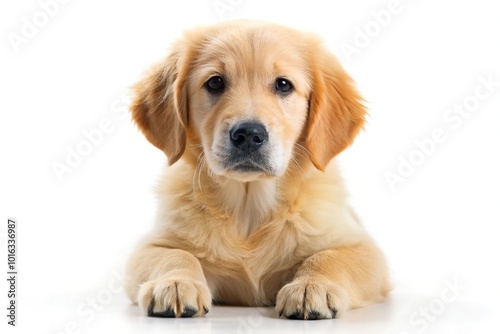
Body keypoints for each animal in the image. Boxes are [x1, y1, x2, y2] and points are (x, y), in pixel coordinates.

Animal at [125, 19, 390, 320]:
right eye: (215, 82)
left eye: (283, 85)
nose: (249, 134)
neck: (248, 206)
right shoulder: (150, 245)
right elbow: (174, 254)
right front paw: (175, 282)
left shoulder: (364, 249)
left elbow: (328, 257)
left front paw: (311, 286)